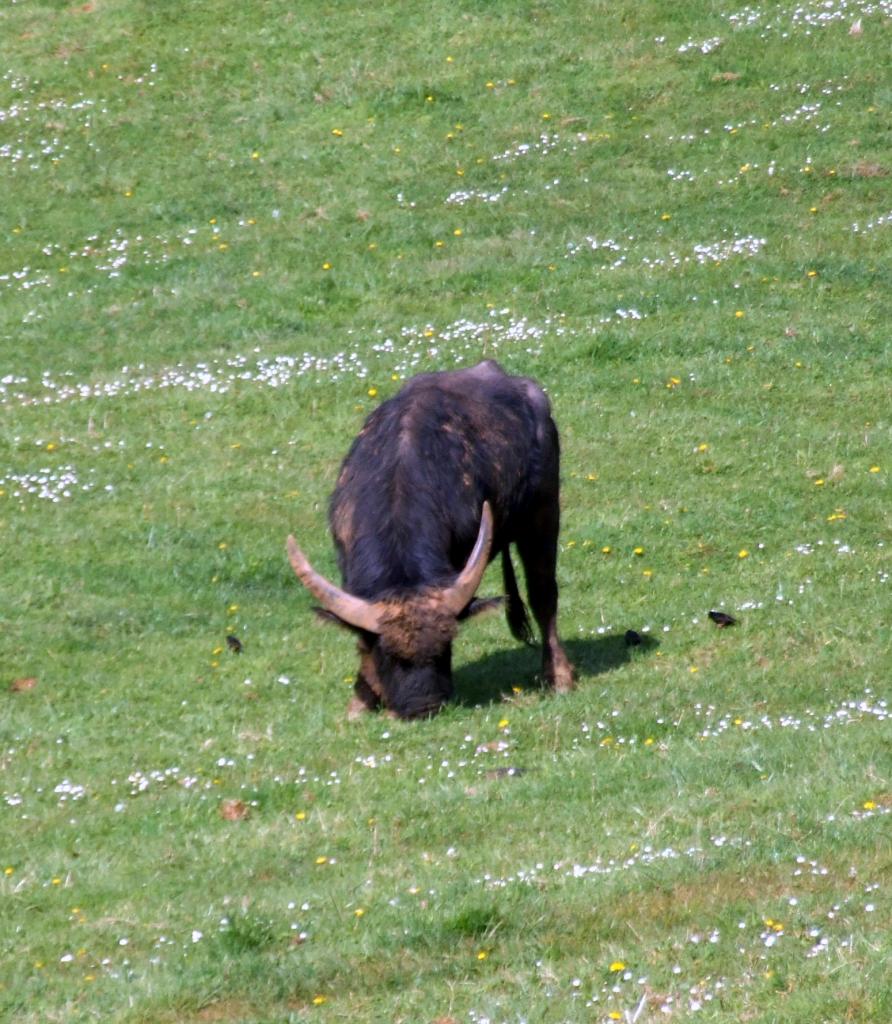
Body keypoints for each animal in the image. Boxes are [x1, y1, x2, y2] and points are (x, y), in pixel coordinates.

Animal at [288, 360, 577, 720]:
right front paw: (361, 700)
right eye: (389, 655)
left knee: (543, 594)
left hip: (543, 511)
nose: (423, 707)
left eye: (445, 648)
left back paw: (559, 676)